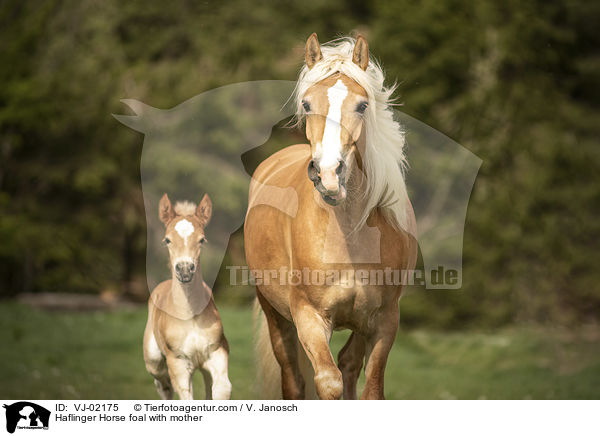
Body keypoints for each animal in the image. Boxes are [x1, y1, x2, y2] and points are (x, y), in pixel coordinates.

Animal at [143, 192, 232, 400]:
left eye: (202, 240)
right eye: (167, 240)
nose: (184, 270)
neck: (190, 316)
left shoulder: (217, 353)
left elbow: (221, 390)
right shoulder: (178, 364)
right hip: (153, 360)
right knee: (163, 385)